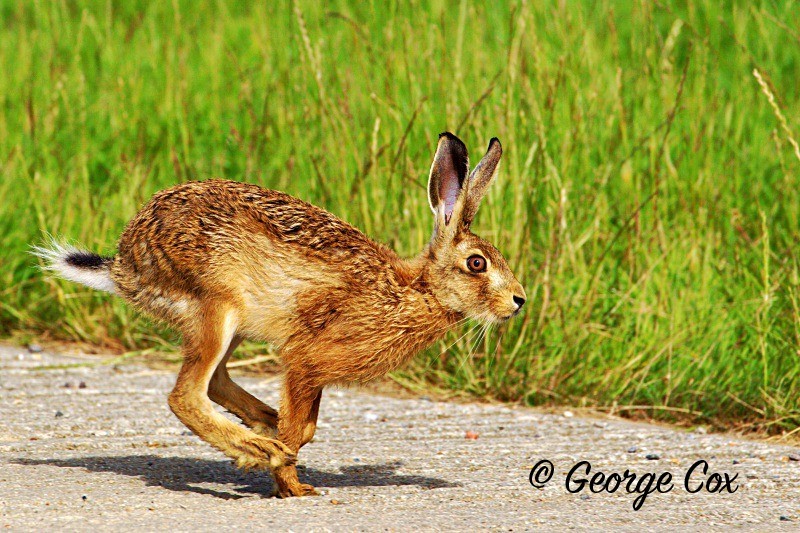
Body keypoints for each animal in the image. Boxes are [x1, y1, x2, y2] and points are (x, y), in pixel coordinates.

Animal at [34, 132, 526, 497]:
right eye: (477, 263)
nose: (519, 300)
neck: (411, 289)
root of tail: (127, 262)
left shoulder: (312, 370)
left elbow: (304, 428)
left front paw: (286, 468)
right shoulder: (305, 359)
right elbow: (298, 430)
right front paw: (290, 483)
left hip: (230, 324)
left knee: (215, 380)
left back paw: (261, 422)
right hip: (217, 306)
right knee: (186, 395)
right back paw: (258, 447)